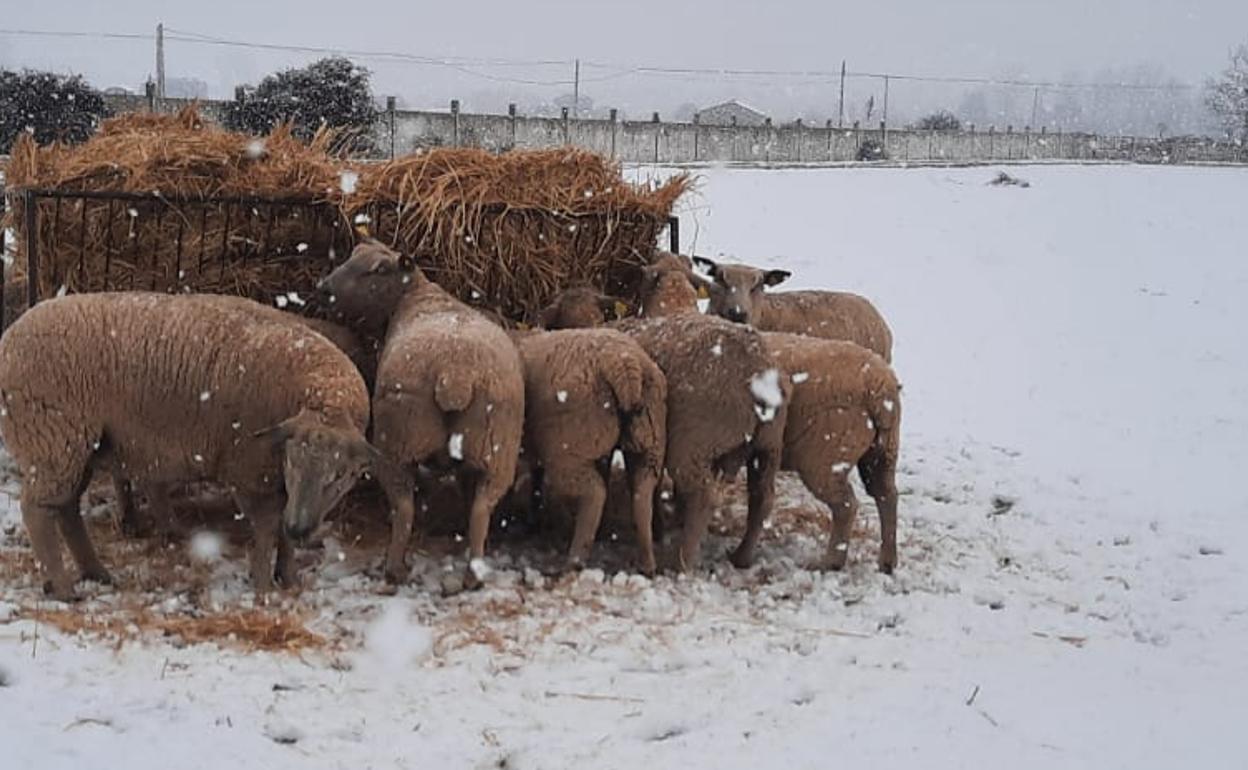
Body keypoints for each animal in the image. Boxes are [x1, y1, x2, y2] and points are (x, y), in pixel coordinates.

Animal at [0, 290, 374, 596]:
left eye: (341, 475)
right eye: (294, 461)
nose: (301, 529)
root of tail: (8, 340)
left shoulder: (276, 480)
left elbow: (282, 529)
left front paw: (289, 577)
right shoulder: (249, 470)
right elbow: (267, 527)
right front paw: (264, 586)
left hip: (79, 448)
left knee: (66, 508)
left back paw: (97, 573)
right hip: (53, 438)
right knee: (37, 510)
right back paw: (64, 588)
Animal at [319, 239, 524, 589]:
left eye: (377, 270)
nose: (326, 289)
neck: (417, 296)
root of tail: (455, 374)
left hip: (400, 442)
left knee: (403, 506)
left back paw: (394, 570)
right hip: (495, 451)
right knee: (481, 509)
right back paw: (473, 574)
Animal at [511, 324, 668, 571]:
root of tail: (624, 363)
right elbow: (536, 480)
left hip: (567, 451)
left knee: (595, 493)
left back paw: (575, 559)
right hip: (650, 440)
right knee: (641, 493)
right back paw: (647, 563)